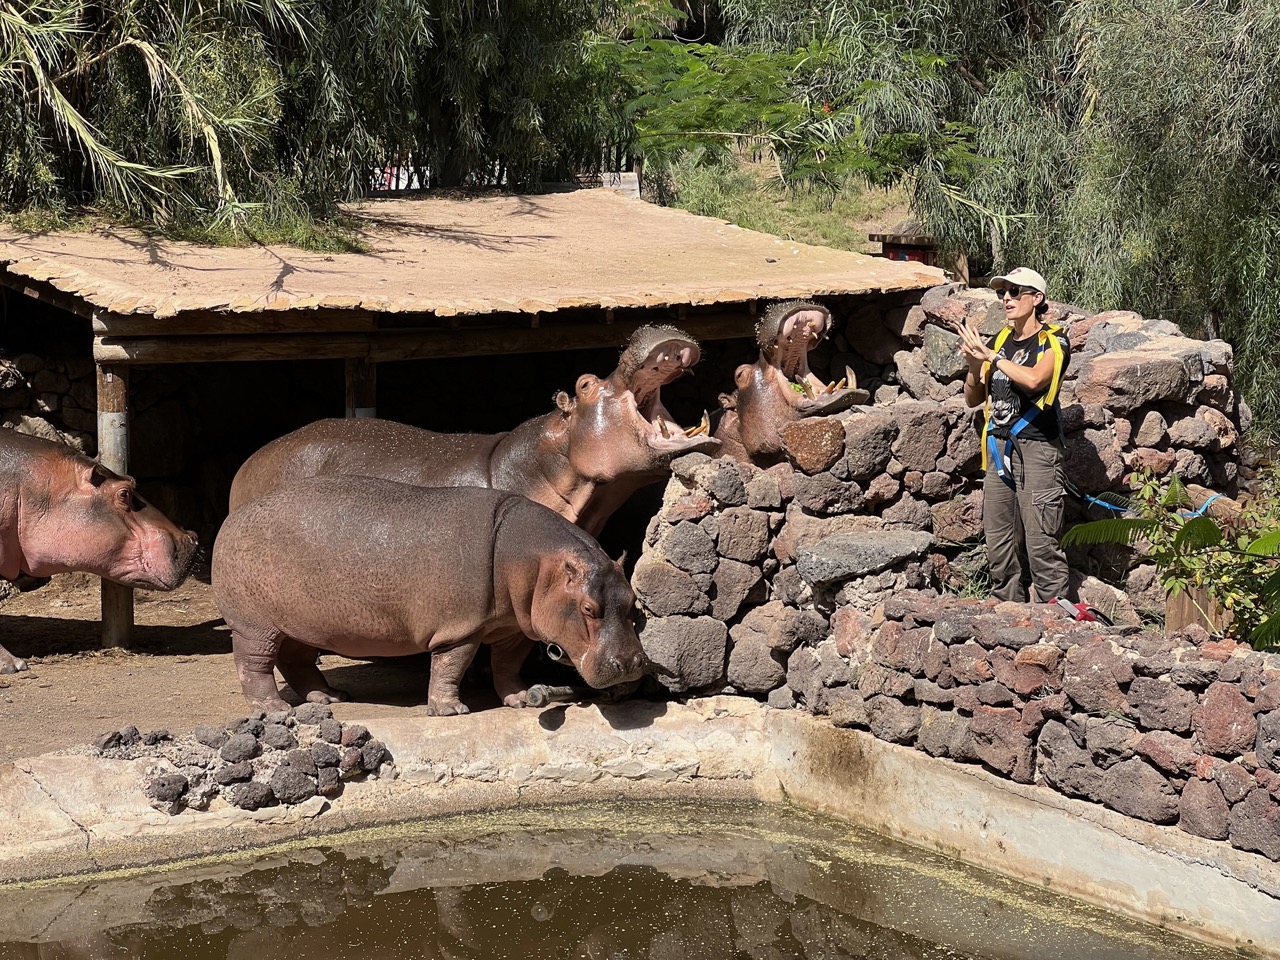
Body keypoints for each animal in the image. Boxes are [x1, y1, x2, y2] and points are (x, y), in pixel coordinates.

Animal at [213, 478, 650, 716]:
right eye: (588, 608)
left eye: (634, 603)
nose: (631, 664)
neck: (531, 559)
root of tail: (232, 517)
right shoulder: (461, 627)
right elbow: (451, 665)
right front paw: (451, 710)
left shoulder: (513, 628)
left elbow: (507, 664)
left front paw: (520, 699)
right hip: (255, 626)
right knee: (253, 666)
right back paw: (275, 710)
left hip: (302, 623)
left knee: (296, 660)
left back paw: (329, 698)